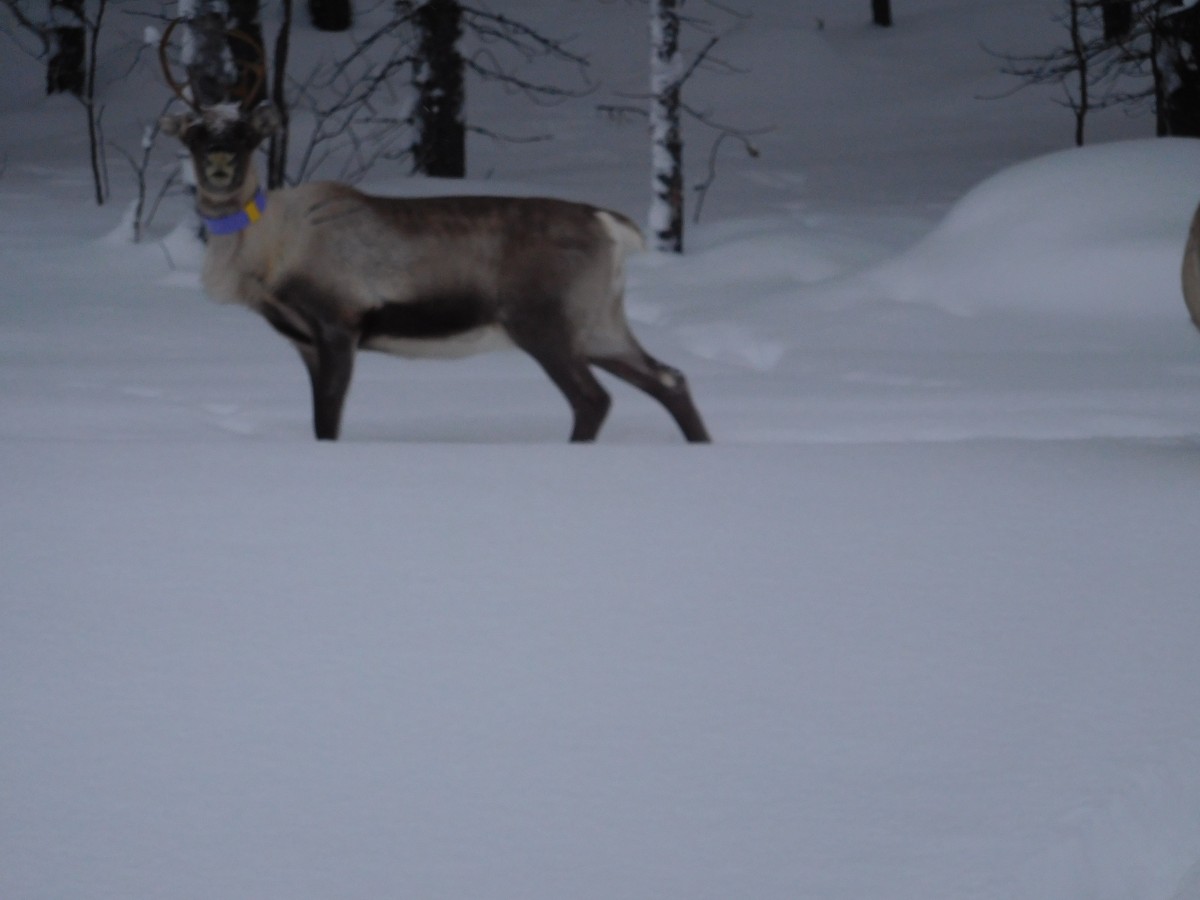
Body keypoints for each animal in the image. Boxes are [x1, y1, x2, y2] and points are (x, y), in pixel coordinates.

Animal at [157, 23, 710, 444]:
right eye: (196, 134)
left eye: (246, 134)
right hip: (599, 324)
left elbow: (331, 421)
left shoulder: (339, 324)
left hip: (544, 323)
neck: (269, 255)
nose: (221, 163)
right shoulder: (304, 342)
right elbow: (319, 423)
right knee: (670, 378)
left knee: (594, 398)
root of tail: (610, 226)